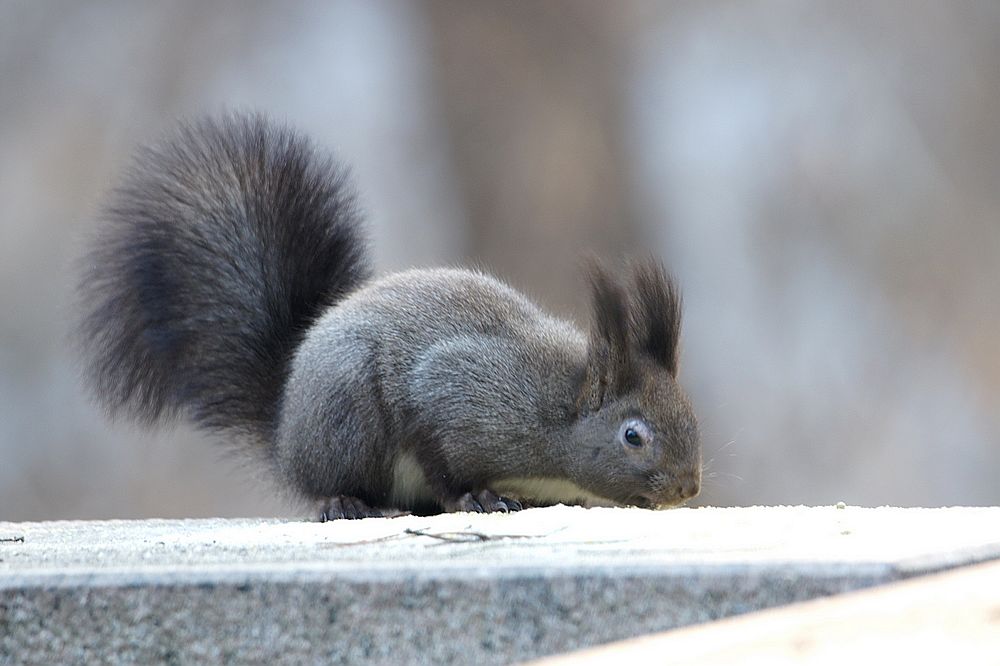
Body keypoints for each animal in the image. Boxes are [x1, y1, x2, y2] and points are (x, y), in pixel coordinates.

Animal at [76, 113, 704, 520]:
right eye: (633, 435)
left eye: (691, 416)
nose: (687, 488)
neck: (559, 407)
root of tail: (284, 432)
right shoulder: (455, 395)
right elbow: (442, 458)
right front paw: (477, 498)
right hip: (346, 417)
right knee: (333, 485)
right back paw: (344, 501)